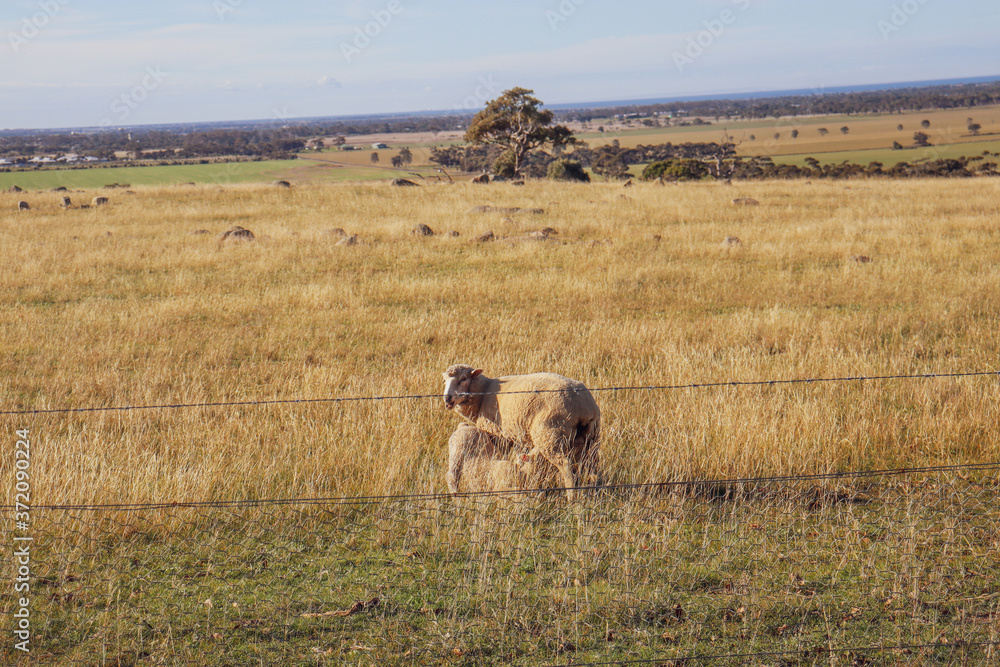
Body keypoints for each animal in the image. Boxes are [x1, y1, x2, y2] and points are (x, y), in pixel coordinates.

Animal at [442, 364, 601, 500]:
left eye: (463, 379)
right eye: (445, 381)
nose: (447, 398)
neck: (483, 394)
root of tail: (583, 405)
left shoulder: (497, 435)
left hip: (551, 436)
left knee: (566, 467)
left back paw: (571, 498)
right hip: (590, 438)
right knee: (592, 465)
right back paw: (595, 492)